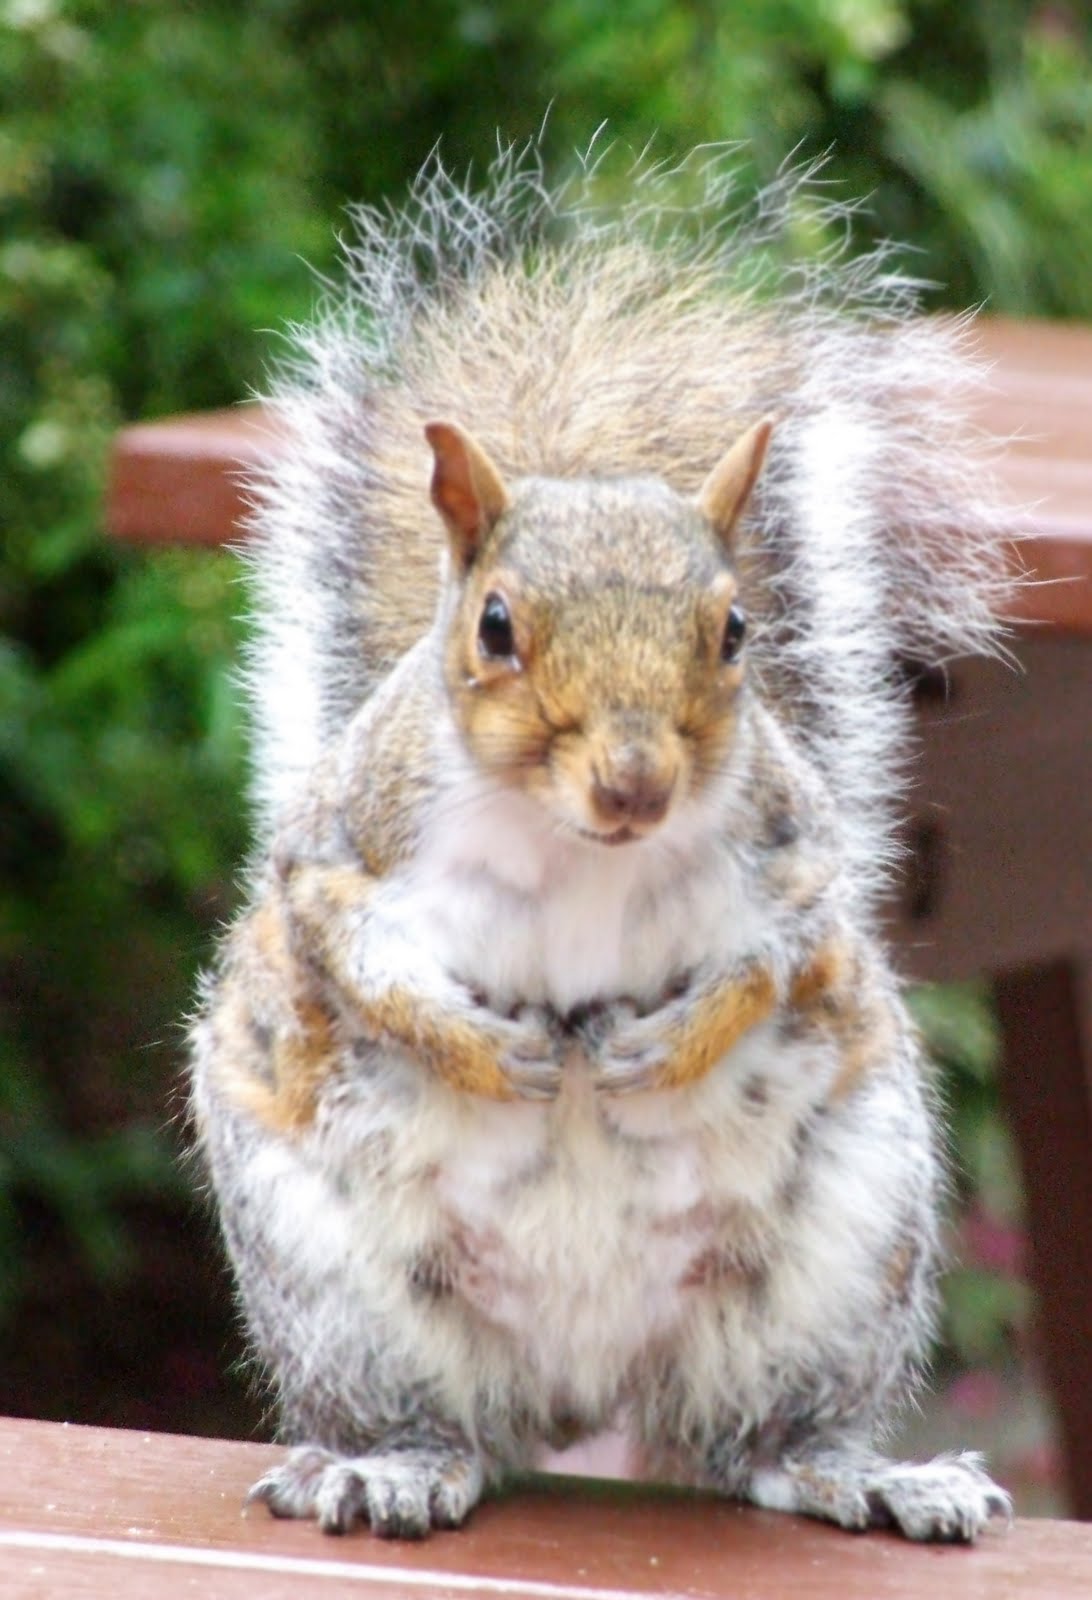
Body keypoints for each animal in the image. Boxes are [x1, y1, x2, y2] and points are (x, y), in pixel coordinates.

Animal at [188, 141, 1015, 1543]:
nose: (636, 783)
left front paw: (665, 1041)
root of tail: (580, 1387)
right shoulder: (343, 848)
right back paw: (392, 1462)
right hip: (339, 1289)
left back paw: (864, 1472)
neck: (577, 848)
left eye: (735, 631)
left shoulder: (795, 854)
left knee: (757, 1441)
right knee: (443, 1422)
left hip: (844, 1257)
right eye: (496, 625)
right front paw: (483, 1047)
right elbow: (354, 956)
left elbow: (780, 953)